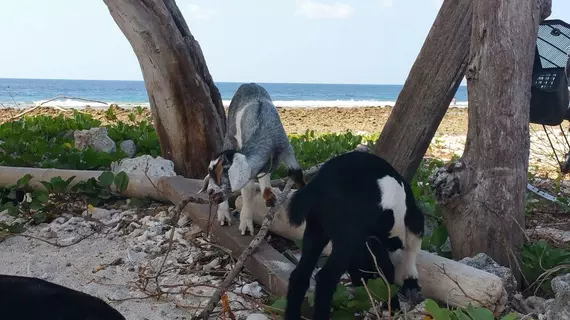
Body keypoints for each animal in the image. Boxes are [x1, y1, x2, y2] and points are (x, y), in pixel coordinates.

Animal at [197, 83, 304, 235]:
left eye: (220, 172)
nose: (210, 192)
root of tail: (248, 84)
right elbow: (248, 191)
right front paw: (246, 224)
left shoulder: (287, 149)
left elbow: (297, 176)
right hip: (230, 133)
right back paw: (224, 214)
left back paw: (268, 194)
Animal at [282, 151, 422, 320]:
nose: (368, 292)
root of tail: (318, 185)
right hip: (347, 240)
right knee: (325, 279)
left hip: (316, 231)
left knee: (300, 275)